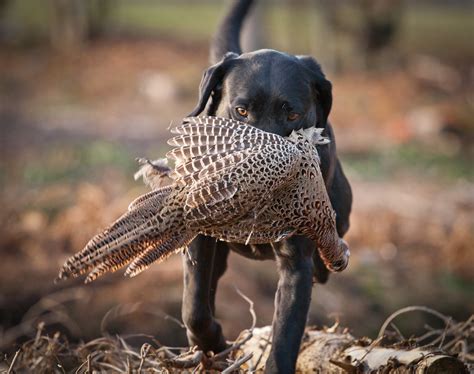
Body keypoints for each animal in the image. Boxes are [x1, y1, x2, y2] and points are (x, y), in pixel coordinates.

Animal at [181, 1, 352, 372]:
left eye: (292, 115)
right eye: (242, 110)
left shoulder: (296, 263)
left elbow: (285, 334)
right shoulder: (199, 237)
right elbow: (195, 307)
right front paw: (213, 342)